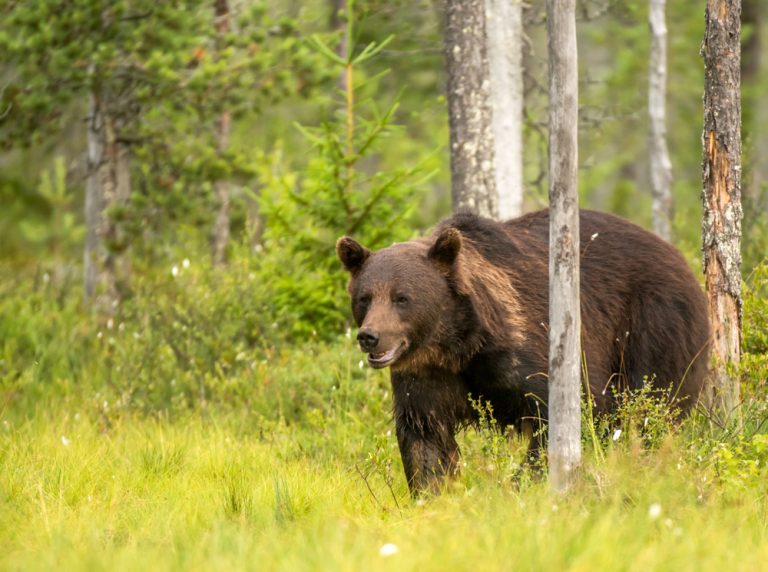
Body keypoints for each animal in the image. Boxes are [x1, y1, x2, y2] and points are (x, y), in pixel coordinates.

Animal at [336, 209, 710, 495]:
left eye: (402, 297)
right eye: (365, 297)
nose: (370, 337)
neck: (458, 344)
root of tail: (680, 257)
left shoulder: (526, 353)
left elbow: (559, 414)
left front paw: (522, 485)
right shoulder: (425, 375)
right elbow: (425, 437)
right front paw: (435, 495)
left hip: (654, 326)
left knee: (650, 407)